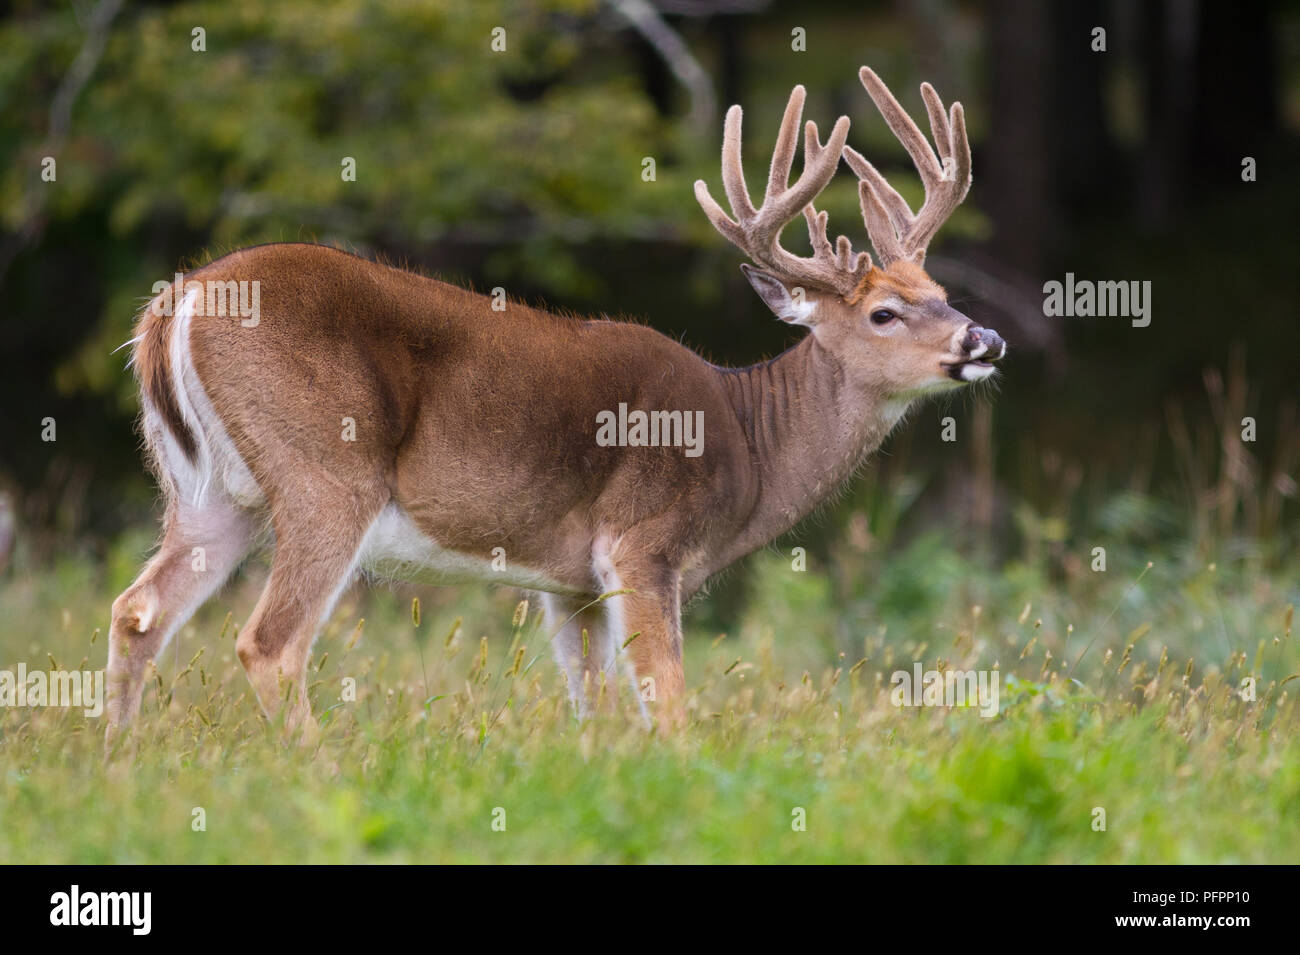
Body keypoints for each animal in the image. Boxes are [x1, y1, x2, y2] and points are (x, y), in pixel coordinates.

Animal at [109, 67, 1003, 743]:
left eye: (941, 290)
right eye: (883, 312)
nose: (985, 338)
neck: (751, 440)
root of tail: (176, 301)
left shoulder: (567, 582)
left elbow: (593, 708)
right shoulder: (642, 540)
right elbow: (668, 702)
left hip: (210, 491)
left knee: (137, 611)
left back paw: (118, 763)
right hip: (326, 471)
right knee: (269, 643)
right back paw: (316, 768)